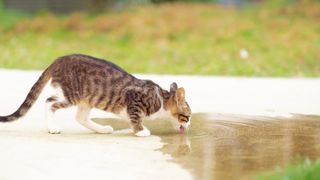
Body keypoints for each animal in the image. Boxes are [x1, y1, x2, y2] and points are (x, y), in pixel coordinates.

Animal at [0, 53, 191, 136]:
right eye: (187, 117)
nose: (189, 124)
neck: (161, 99)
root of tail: (59, 59)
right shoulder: (134, 101)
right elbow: (135, 118)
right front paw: (140, 131)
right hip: (71, 94)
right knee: (49, 101)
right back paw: (52, 127)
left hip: (86, 99)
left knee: (80, 117)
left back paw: (102, 129)